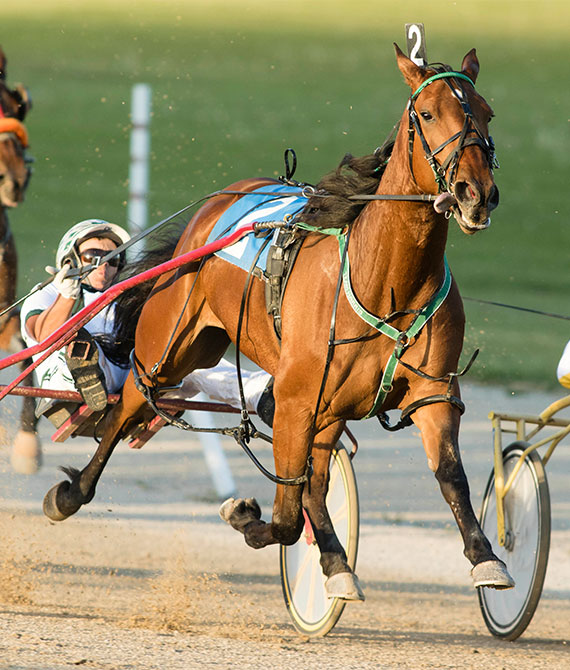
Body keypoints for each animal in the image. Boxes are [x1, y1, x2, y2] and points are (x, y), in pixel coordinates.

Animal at [46, 46, 512, 600]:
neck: (385, 280)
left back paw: (334, 560)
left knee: (315, 479)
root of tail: (221, 201)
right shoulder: (296, 399)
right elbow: (287, 515)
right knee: (130, 403)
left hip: (318, 404)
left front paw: (485, 557)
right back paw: (71, 492)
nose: (475, 193)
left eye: (486, 113)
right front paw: (245, 515)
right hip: (173, 346)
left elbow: (448, 475)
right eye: (427, 113)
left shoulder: (430, 391)